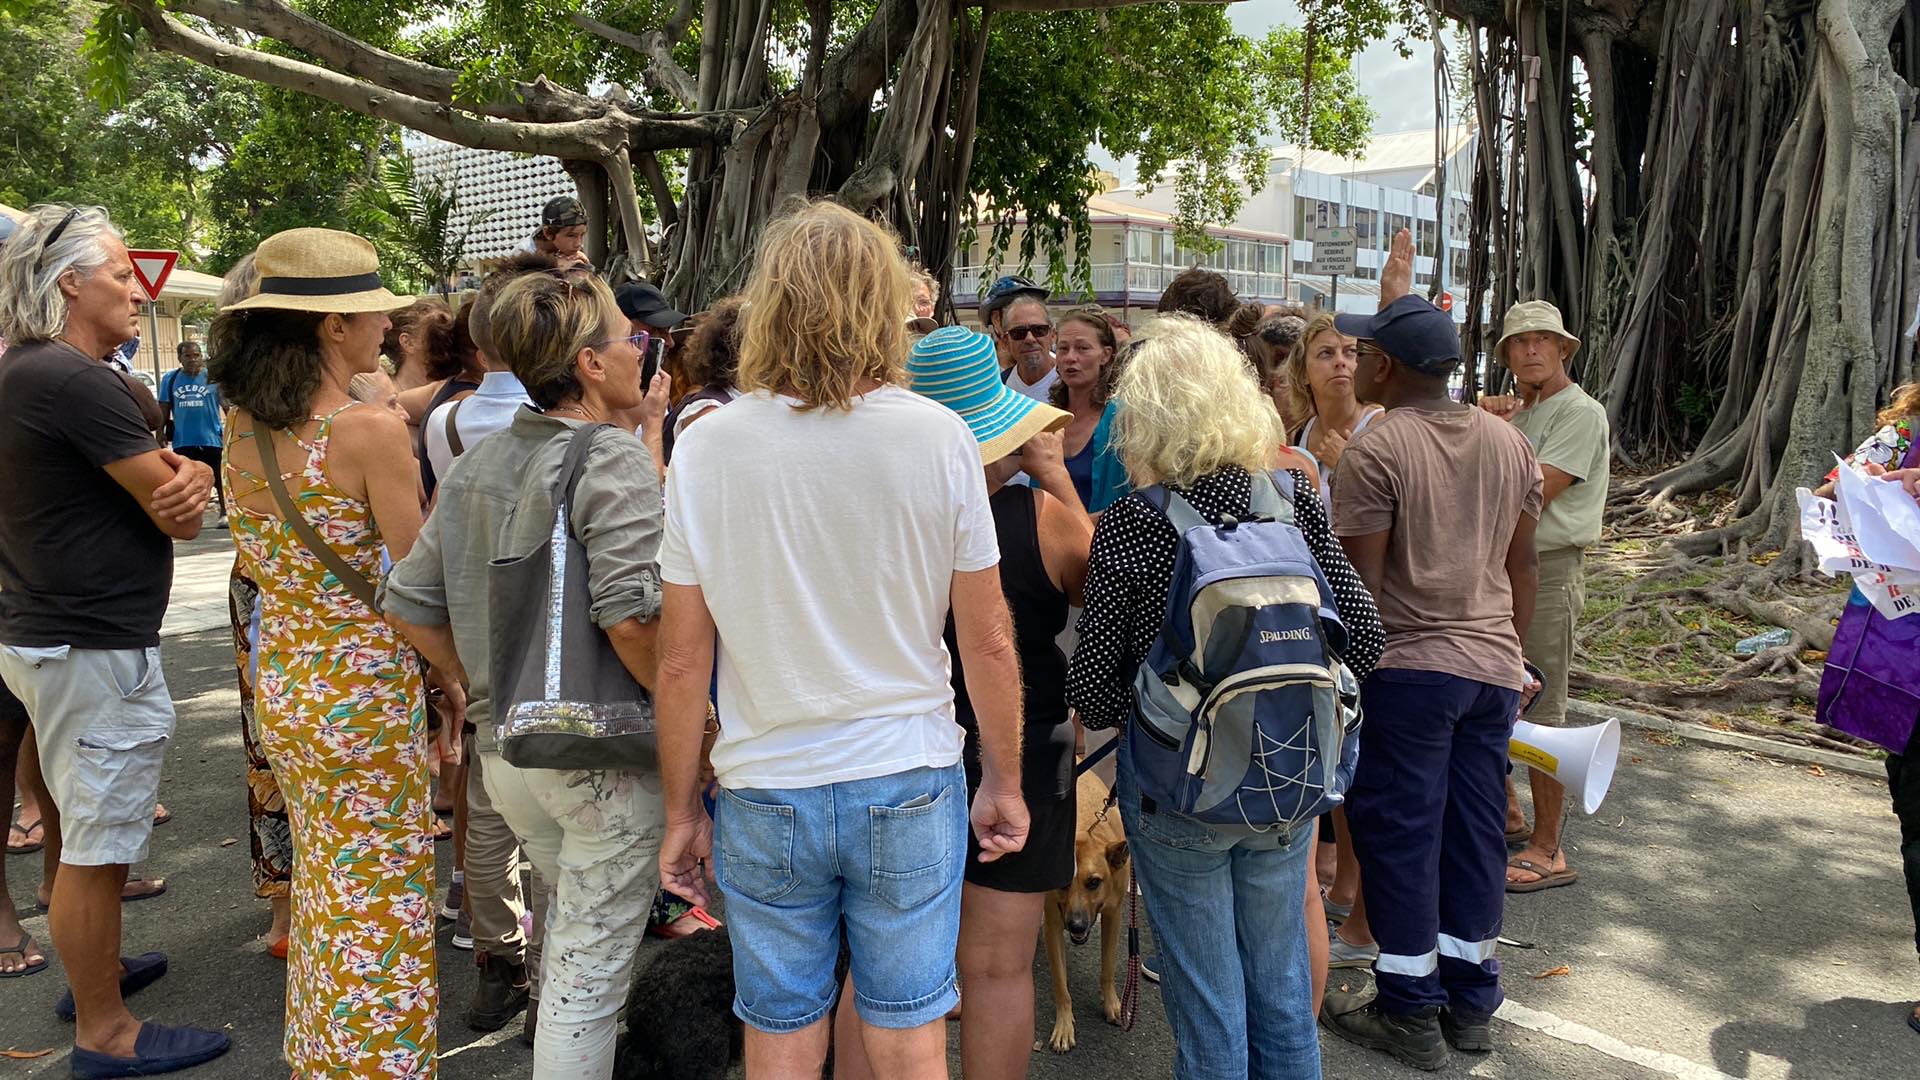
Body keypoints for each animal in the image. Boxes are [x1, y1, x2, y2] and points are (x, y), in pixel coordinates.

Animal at [1044, 764, 1128, 1053]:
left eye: (1094, 882)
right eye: (1063, 883)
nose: (1077, 925)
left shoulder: (1114, 915)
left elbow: (1108, 967)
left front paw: (1112, 1003)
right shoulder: (1053, 924)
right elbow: (1060, 984)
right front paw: (1064, 1025)